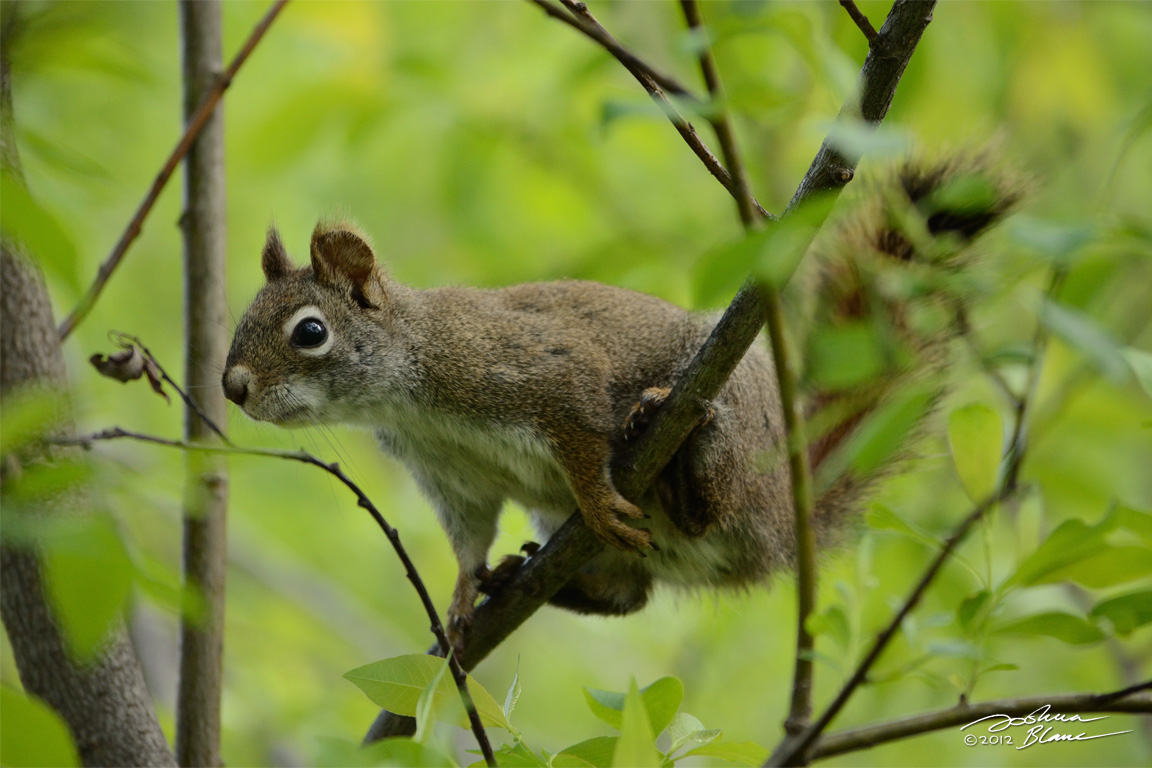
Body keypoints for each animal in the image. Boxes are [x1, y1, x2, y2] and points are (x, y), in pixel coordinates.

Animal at [220, 158, 1013, 644]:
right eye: (244, 318)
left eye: (310, 332)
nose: (233, 387)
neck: (410, 395)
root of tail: (786, 512)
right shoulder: (453, 480)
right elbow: (469, 539)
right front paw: (461, 597)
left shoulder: (538, 375)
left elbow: (579, 433)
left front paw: (599, 503)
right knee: (631, 597)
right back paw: (528, 578)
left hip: (735, 421)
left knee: (710, 506)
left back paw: (677, 453)